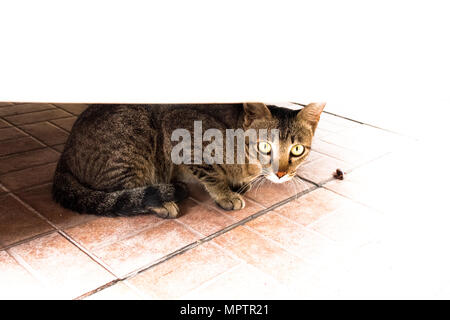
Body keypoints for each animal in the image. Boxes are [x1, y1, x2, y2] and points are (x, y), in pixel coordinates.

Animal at [52, 102, 326, 218]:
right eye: (265, 145)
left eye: (297, 149)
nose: (281, 174)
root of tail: (64, 155)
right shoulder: (182, 132)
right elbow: (210, 173)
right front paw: (225, 194)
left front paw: (239, 184)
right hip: (133, 139)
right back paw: (161, 202)